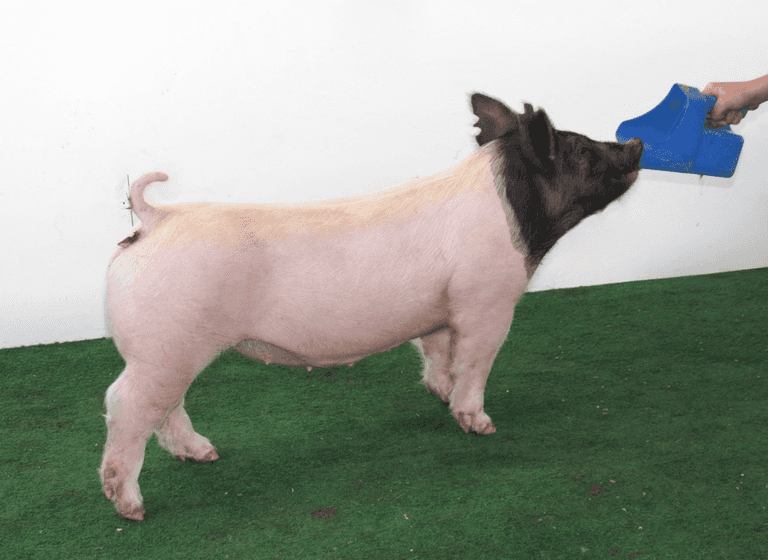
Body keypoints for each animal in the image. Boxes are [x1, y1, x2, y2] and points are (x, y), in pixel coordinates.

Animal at [100, 93, 643, 520]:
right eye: (579, 149)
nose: (635, 143)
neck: (514, 215)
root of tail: (155, 218)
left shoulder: (440, 314)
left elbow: (439, 355)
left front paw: (440, 396)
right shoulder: (487, 301)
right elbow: (476, 363)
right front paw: (480, 424)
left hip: (169, 351)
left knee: (168, 408)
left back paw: (205, 455)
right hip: (163, 347)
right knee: (124, 404)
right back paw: (132, 507)